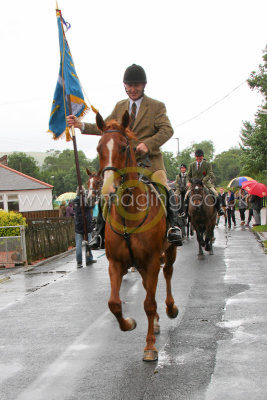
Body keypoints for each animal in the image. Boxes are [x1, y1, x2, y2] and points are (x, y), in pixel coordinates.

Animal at [95, 110, 179, 362]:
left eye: (124, 148)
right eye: (98, 148)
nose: (108, 190)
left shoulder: (152, 260)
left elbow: (149, 304)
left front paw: (150, 346)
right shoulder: (116, 263)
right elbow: (114, 303)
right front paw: (129, 323)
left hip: (169, 251)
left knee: (168, 274)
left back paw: (171, 309)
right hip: (140, 264)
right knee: (146, 284)